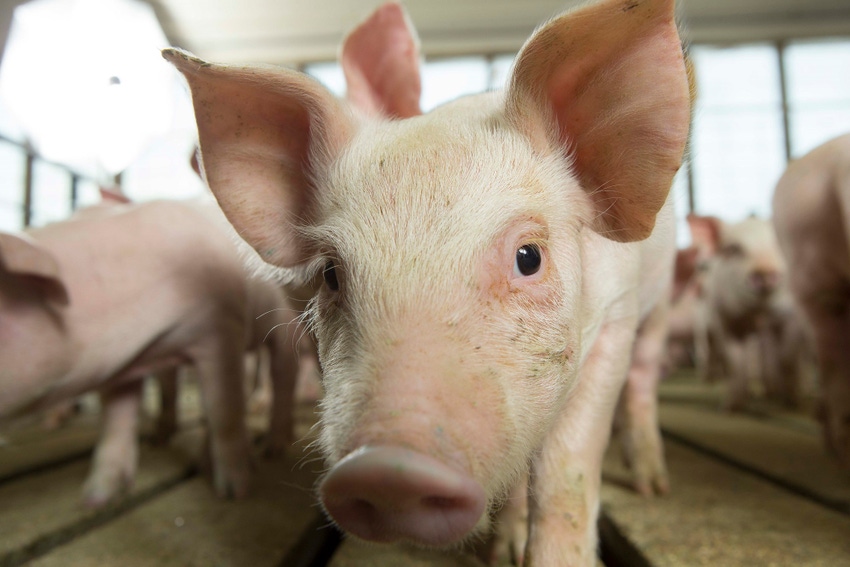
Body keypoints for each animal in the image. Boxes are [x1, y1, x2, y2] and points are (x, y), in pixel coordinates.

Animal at [0, 190, 304, 506]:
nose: (90, 500)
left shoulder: (221, 328)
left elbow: (224, 409)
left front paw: (235, 492)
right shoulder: (125, 364)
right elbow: (117, 421)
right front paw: (96, 497)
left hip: (285, 324)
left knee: (283, 376)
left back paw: (273, 449)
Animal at [161, 0, 688, 564]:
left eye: (528, 257)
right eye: (330, 274)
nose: (388, 470)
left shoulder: (616, 314)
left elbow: (564, 471)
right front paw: (502, 549)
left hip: (658, 307)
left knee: (643, 378)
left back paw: (655, 487)